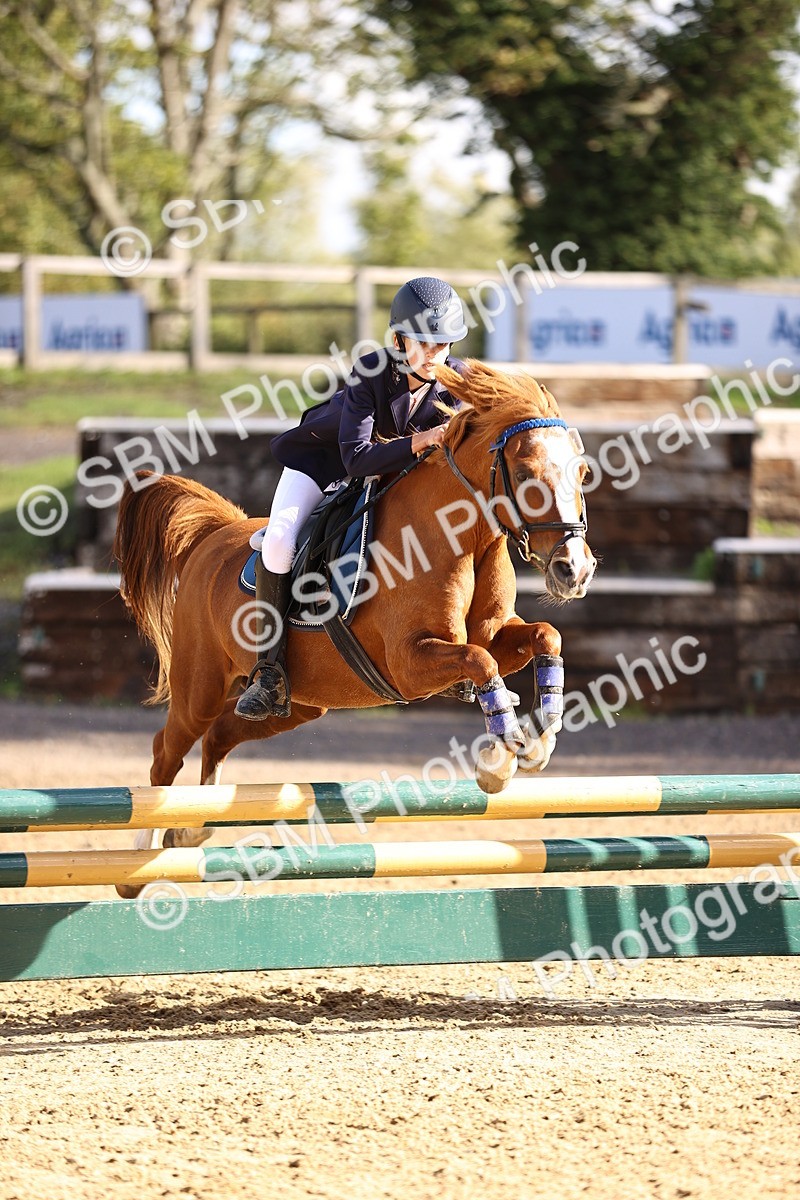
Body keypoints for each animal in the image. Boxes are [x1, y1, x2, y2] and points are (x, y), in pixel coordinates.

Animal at [113, 360, 596, 895]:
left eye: (581, 472)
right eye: (528, 476)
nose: (575, 570)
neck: (462, 535)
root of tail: (214, 534)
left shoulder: (492, 632)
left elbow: (541, 636)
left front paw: (541, 737)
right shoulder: (410, 662)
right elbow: (480, 660)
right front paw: (499, 760)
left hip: (300, 704)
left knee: (219, 737)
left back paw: (192, 828)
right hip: (199, 685)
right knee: (166, 752)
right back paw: (137, 866)